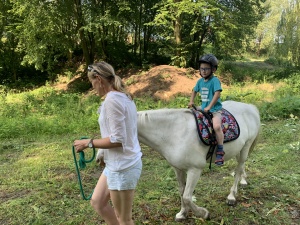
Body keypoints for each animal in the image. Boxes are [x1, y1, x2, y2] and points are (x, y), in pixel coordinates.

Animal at [96, 101, 260, 221]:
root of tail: (250, 107)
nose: (99, 158)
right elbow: (182, 191)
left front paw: (203, 213)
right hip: (240, 150)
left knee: (238, 169)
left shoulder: (195, 169)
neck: (173, 132)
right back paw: (243, 181)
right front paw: (182, 214)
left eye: (111, 132)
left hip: (245, 147)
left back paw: (232, 196)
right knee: (241, 167)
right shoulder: (178, 168)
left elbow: (187, 196)